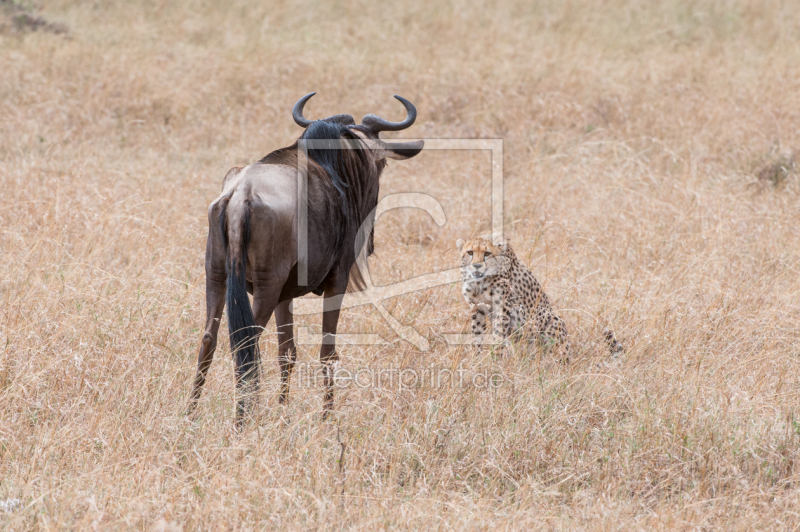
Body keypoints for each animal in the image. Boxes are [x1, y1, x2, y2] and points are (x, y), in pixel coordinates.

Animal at [456, 238, 624, 360]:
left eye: (487, 253)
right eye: (470, 252)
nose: (477, 266)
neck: (480, 281)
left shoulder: (502, 307)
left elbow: (498, 334)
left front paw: (495, 358)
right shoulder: (477, 308)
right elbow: (477, 334)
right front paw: (475, 358)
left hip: (552, 319)